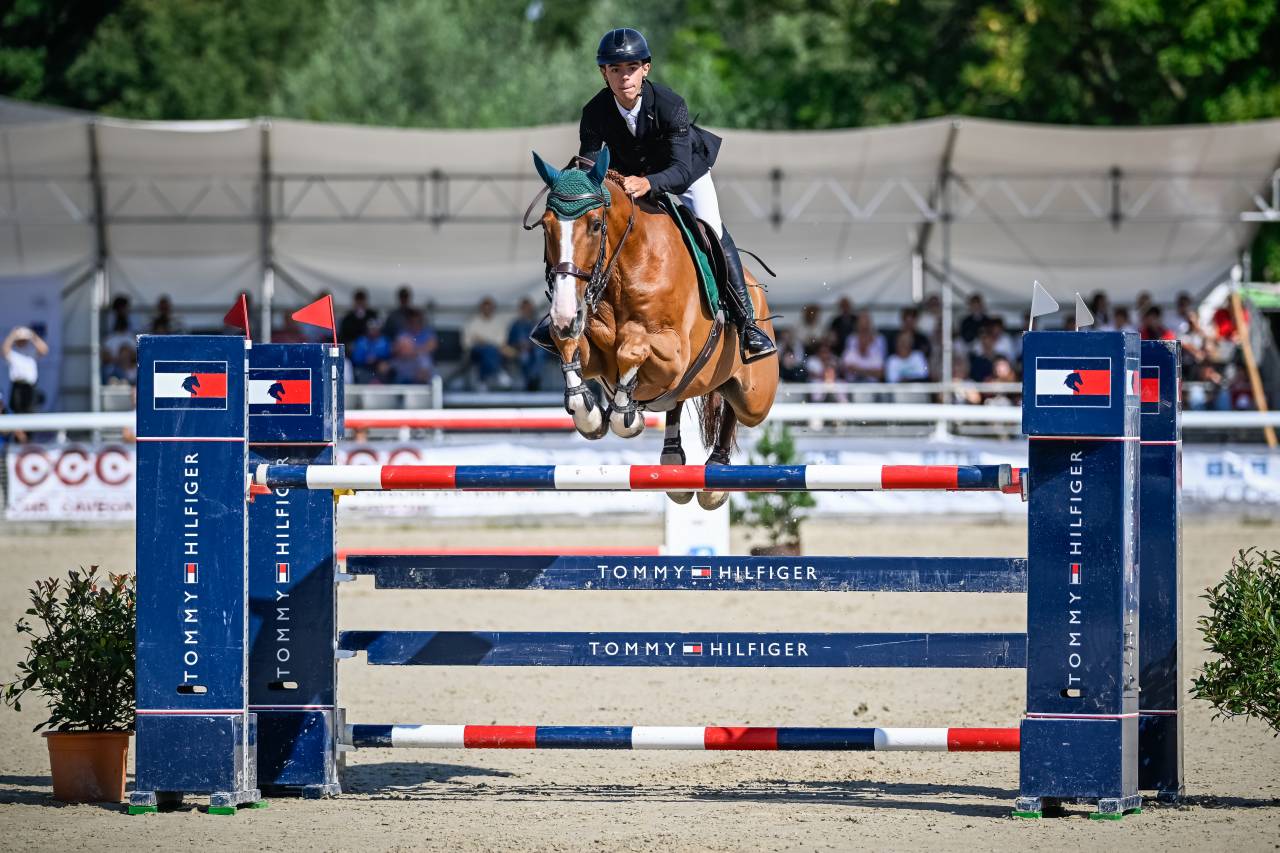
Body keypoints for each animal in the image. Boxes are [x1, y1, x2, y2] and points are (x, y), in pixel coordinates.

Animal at [528, 147, 778, 510]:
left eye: (596, 225)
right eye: (546, 226)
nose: (563, 313)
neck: (626, 266)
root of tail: (755, 288)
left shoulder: (675, 354)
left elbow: (633, 347)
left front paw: (625, 416)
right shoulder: (591, 350)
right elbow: (570, 346)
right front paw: (588, 413)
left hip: (756, 397)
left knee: (733, 405)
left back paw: (716, 475)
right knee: (677, 402)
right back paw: (673, 461)